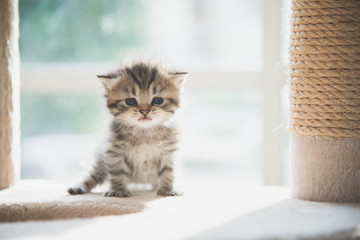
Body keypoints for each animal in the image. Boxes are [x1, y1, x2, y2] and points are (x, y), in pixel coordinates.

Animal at [67, 61, 187, 197]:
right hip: (100, 161)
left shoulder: (169, 153)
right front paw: (118, 191)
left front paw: (167, 190)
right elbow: (117, 173)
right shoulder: (114, 152)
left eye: (158, 100)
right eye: (130, 101)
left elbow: (168, 172)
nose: (144, 111)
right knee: (92, 175)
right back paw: (78, 186)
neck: (144, 133)